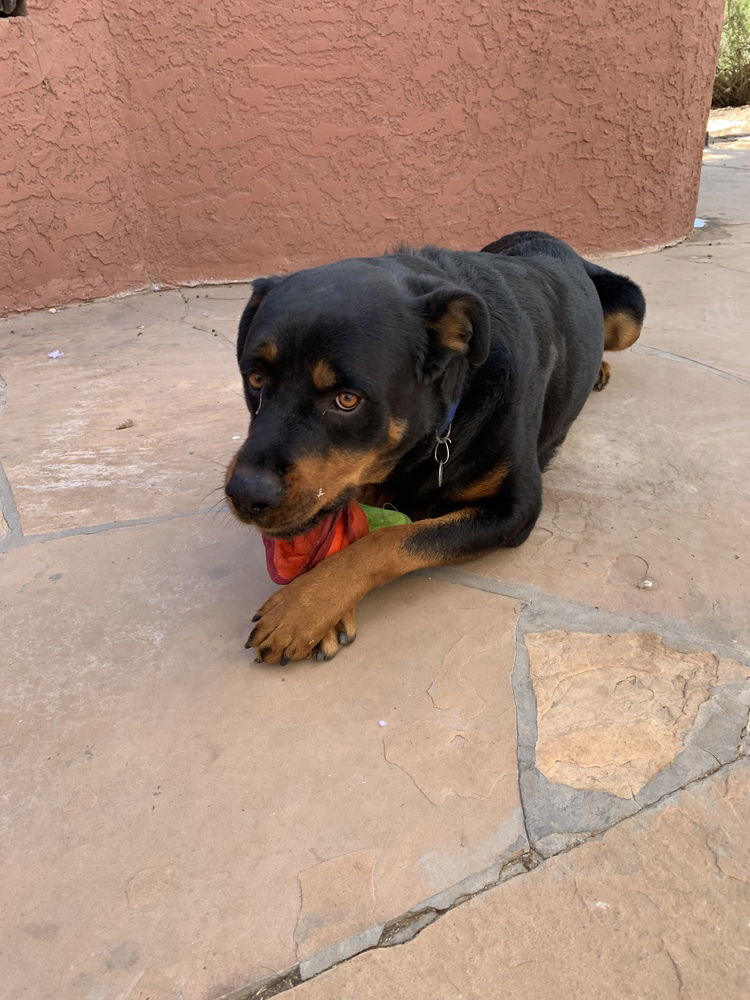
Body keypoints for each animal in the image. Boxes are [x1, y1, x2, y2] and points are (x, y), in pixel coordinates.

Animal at [225, 229, 648, 660]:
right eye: (255, 379)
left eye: (347, 400)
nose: (245, 495)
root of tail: (547, 236)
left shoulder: (515, 509)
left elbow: (390, 540)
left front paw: (303, 606)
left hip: (631, 313)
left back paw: (600, 368)